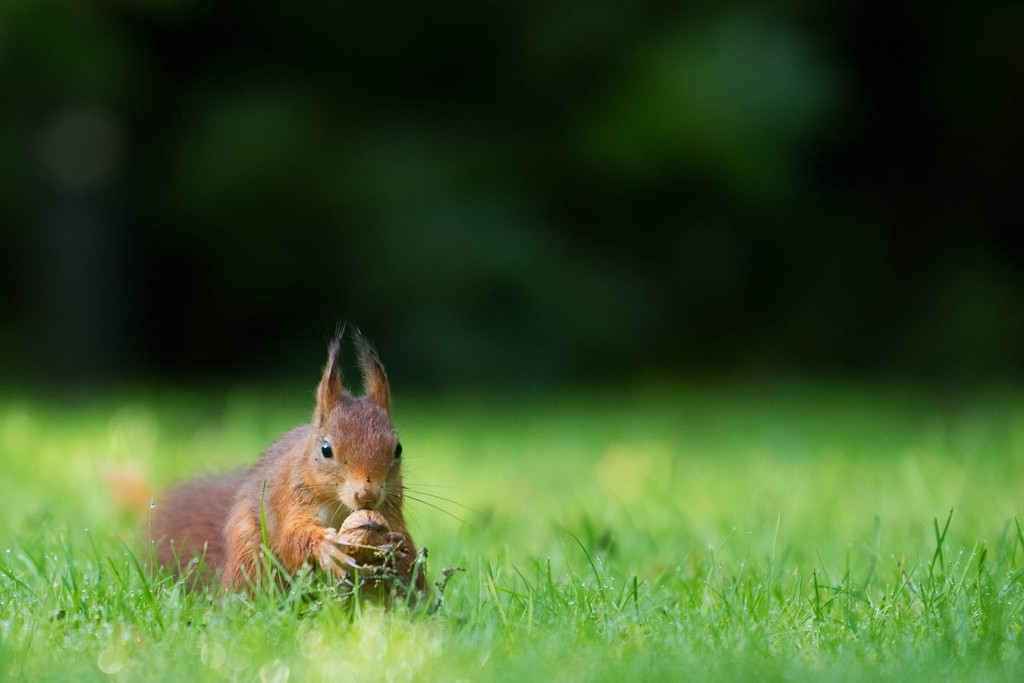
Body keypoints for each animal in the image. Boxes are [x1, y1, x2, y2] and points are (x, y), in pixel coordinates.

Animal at [149, 331, 423, 593]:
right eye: (326, 449)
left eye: (398, 449)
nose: (367, 494)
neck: (340, 506)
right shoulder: (291, 494)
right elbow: (291, 536)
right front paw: (326, 547)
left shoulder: (390, 505)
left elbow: (399, 531)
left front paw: (395, 543)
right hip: (249, 557)